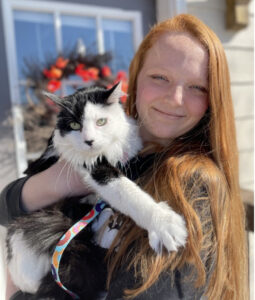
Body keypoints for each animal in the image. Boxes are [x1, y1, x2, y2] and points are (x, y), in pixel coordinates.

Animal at [5, 82, 187, 300]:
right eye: (75, 126)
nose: (89, 140)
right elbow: (127, 192)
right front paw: (164, 223)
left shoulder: (127, 156)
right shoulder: (94, 168)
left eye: (101, 121)